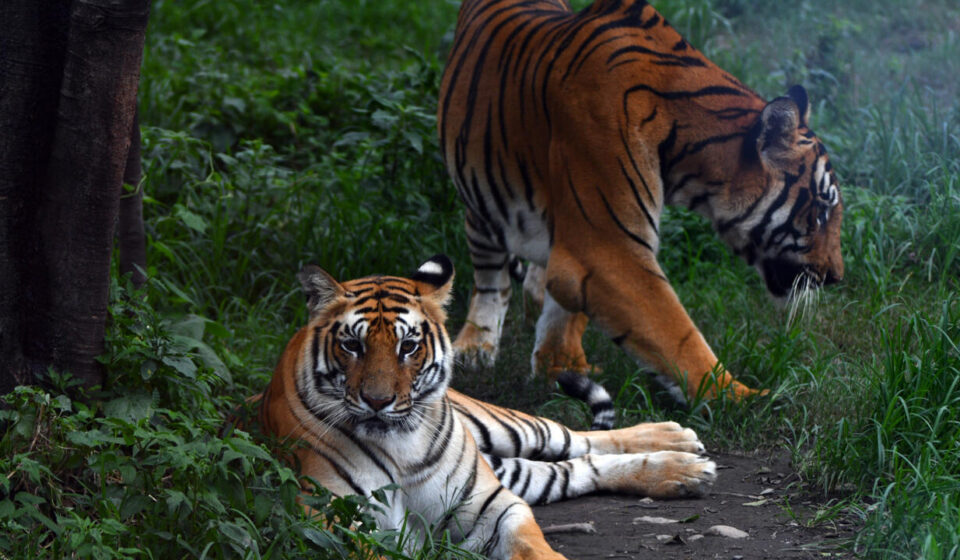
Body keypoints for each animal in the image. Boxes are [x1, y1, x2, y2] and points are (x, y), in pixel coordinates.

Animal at [257, 255, 716, 560]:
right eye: (353, 345)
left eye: (408, 346)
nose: (378, 401)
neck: (401, 449)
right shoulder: (330, 521)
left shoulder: (492, 505)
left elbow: (533, 546)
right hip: (507, 467)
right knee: (573, 469)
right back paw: (682, 470)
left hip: (504, 429)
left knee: (574, 438)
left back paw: (678, 446)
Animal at [438, 0, 845, 402]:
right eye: (821, 211)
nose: (837, 278)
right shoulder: (606, 249)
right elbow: (676, 333)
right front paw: (745, 398)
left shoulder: (580, 239)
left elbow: (567, 308)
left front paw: (561, 366)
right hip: (481, 205)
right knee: (490, 279)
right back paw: (475, 346)